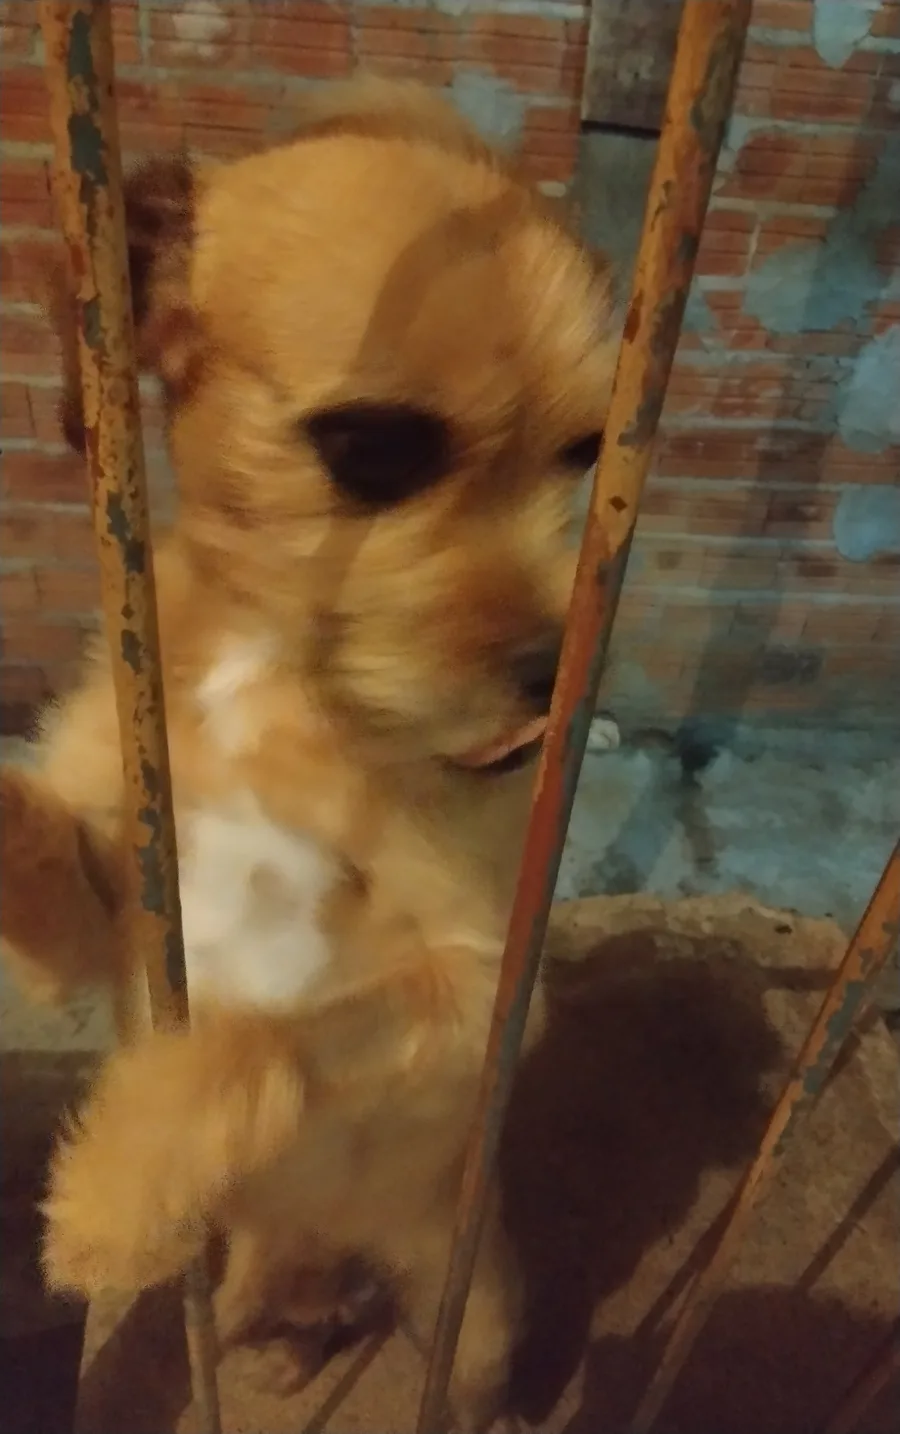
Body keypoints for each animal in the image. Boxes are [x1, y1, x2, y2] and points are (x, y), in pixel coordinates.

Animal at [0, 77, 618, 1426]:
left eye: (588, 457)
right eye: (375, 448)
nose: (559, 677)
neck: (272, 700)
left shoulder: (484, 989)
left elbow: (269, 1039)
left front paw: (117, 1187)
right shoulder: (105, 923)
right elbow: (36, 835)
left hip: (469, 1305)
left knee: (460, 1366)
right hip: (253, 1261)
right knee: (267, 1301)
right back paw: (284, 1336)